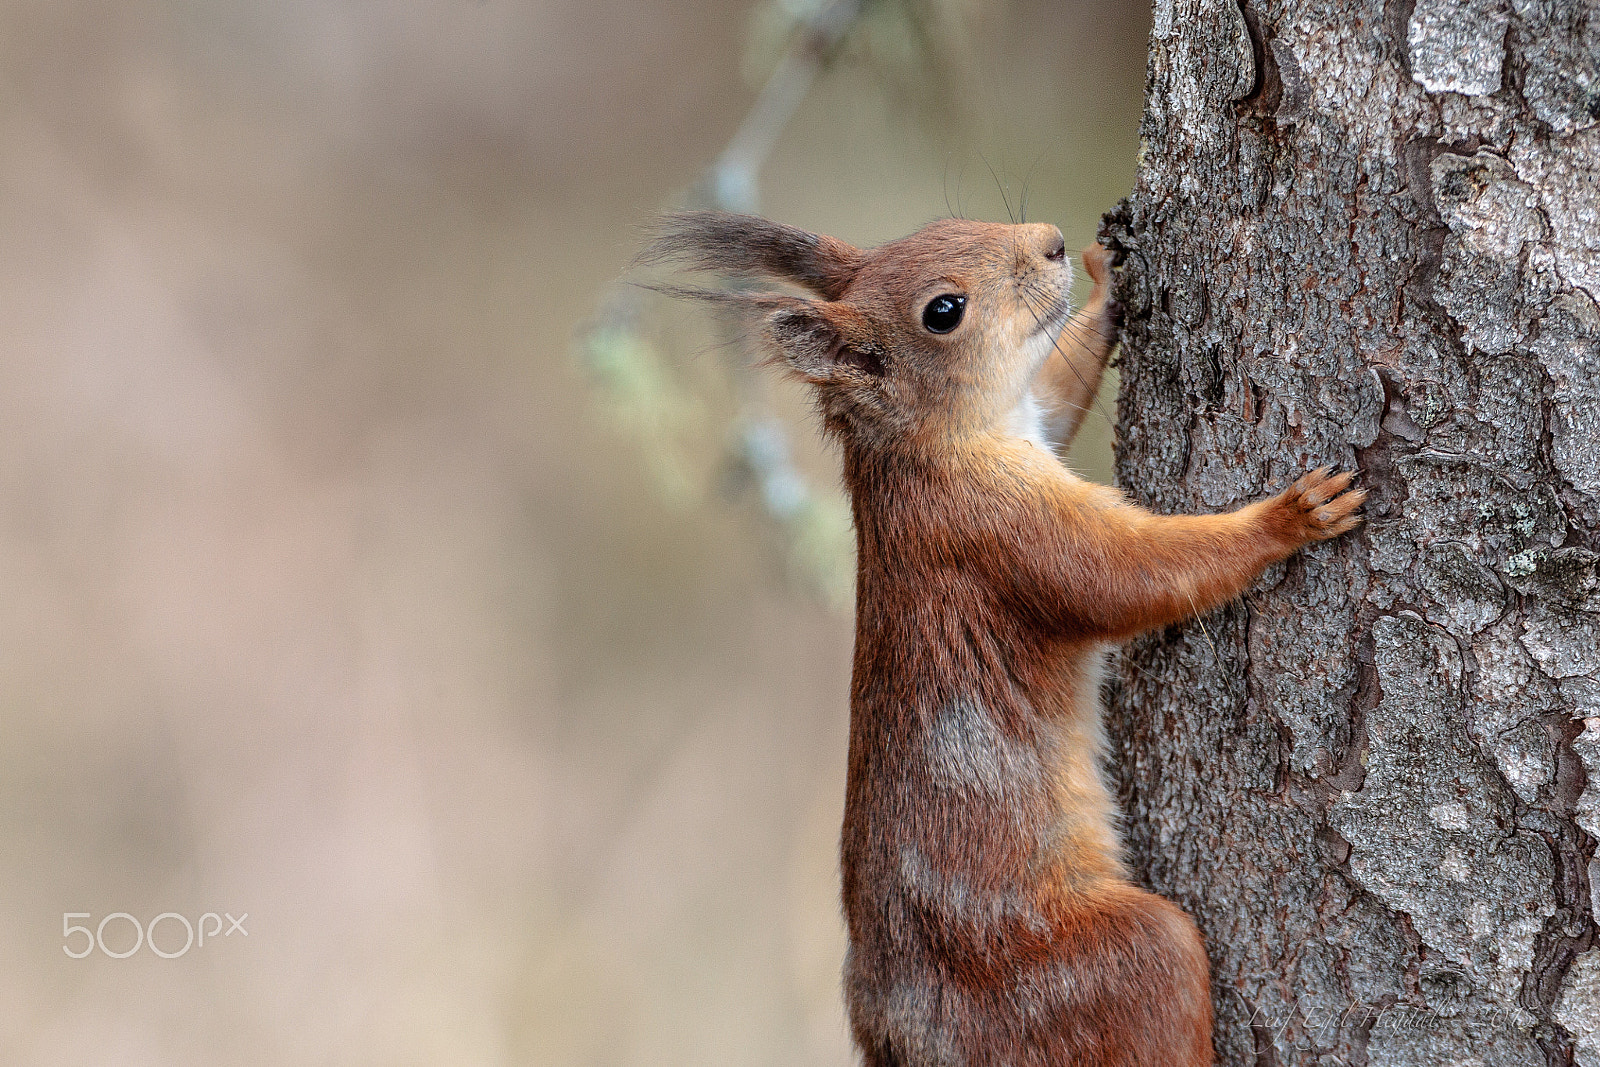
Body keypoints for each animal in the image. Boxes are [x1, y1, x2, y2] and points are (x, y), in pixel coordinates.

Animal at [643, 212, 1369, 1062]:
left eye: (939, 223)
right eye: (943, 311)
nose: (1050, 240)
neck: (925, 446)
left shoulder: (1034, 425)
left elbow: (1056, 394)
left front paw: (1107, 278)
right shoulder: (998, 530)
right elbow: (1127, 576)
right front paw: (1292, 515)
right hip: (1097, 963)